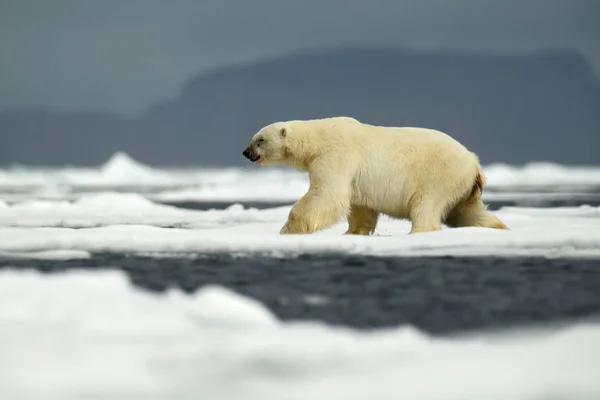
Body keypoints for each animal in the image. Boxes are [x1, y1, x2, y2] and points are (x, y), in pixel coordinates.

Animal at [241, 115, 508, 234]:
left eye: (260, 139)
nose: (245, 152)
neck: (317, 138)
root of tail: (474, 163)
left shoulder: (335, 155)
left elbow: (327, 194)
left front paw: (288, 229)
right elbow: (360, 206)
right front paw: (354, 232)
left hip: (440, 175)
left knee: (426, 204)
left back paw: (419, 231)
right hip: (463, 187)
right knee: (467, 212)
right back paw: (496, 226)